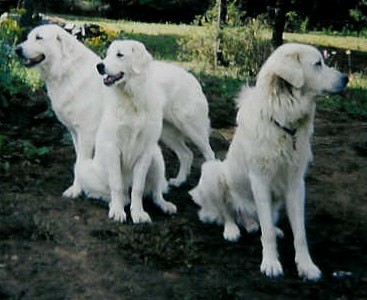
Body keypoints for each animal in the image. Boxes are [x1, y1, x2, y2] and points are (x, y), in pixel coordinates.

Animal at [79, 39, 180, 223]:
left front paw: (138, 213)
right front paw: (118, 211)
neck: (131, 100)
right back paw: (113, 202)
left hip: (156, 157)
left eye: (120, 54)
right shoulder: (113, 148)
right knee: (103, 192)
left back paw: (165, 205)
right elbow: (117, 185)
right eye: (107, 54)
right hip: (84, 169)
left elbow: (138, 189)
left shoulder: (146, 151)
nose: (99, 66)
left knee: (155, 193)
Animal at [191, 42, 350, 282]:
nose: (346, 78)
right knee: (228, 213)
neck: (284, 121)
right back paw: (232, 230)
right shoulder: (260, 181)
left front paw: (306, 266)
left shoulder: (296, 184)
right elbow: (266, 233)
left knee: (260, 220)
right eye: (318, 64)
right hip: (213, 171)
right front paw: (271, 263)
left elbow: (300, 234)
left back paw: (260, 225)